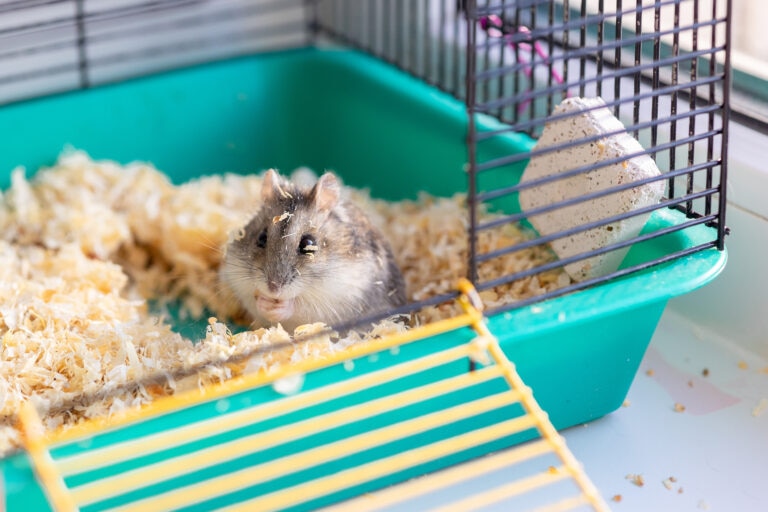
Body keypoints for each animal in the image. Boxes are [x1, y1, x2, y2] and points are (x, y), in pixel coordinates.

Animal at [220, 169, 407, 332]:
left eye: (308, 244)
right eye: (261, 238)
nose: (273, 289)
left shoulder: (337, 298)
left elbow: (299, 307)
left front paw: (279, 307)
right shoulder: (242, 286)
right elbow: (255, 300)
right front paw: (265, 302)